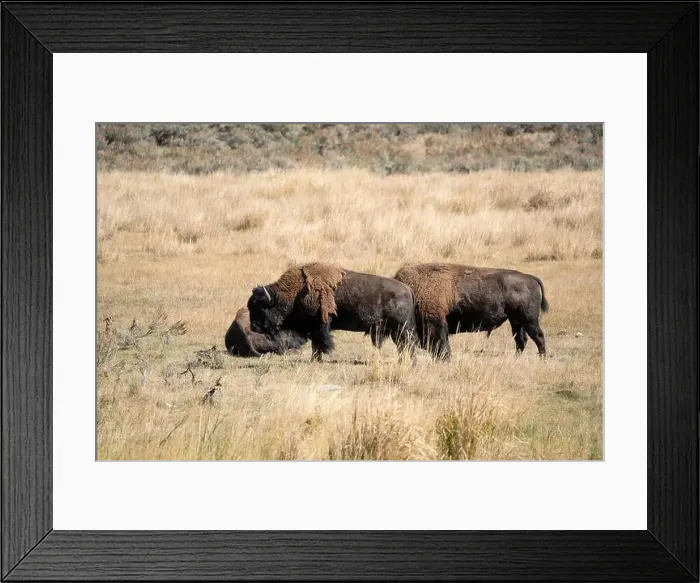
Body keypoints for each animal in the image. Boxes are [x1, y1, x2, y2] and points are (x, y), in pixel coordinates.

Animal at [247, 262, 417, 361]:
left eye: (260, 307)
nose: (253, 327)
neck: (294, 292)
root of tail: (408, 290)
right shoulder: (313, 328)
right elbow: (315, 344)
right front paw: (315, 359)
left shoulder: (320, 326)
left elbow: (321, 342)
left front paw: (319, 358)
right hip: (396, 331)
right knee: (403, 346)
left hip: (403, 329)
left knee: (409, 345)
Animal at [394, 263, 549, 360]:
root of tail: (530, 277)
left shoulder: (436, 323)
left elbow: (442, 344)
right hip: (516, 321)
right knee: (521, 340)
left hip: (529, 320)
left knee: (538, 337)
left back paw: (543, 359)